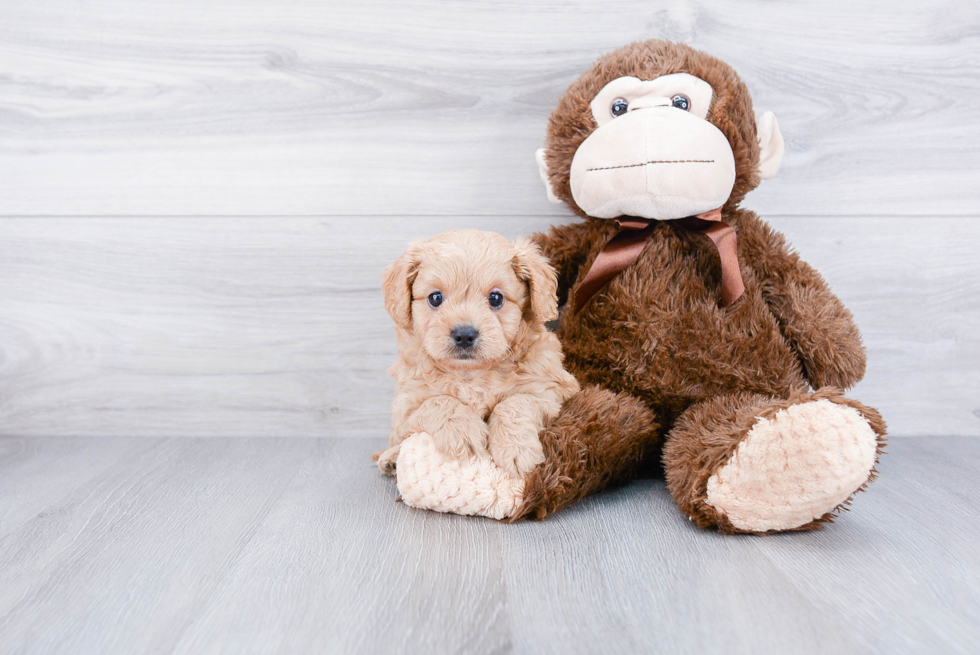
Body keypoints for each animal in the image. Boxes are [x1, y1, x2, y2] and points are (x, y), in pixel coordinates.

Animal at [374, 229, 576, 476]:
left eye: (496, 298)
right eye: (435, 298)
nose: (464, 334)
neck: (471, 373)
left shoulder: (551, 391)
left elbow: (515, 402)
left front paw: (515, 448)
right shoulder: (406, 407)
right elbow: (438, 401)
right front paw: (462, 431)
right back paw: (391, 458)